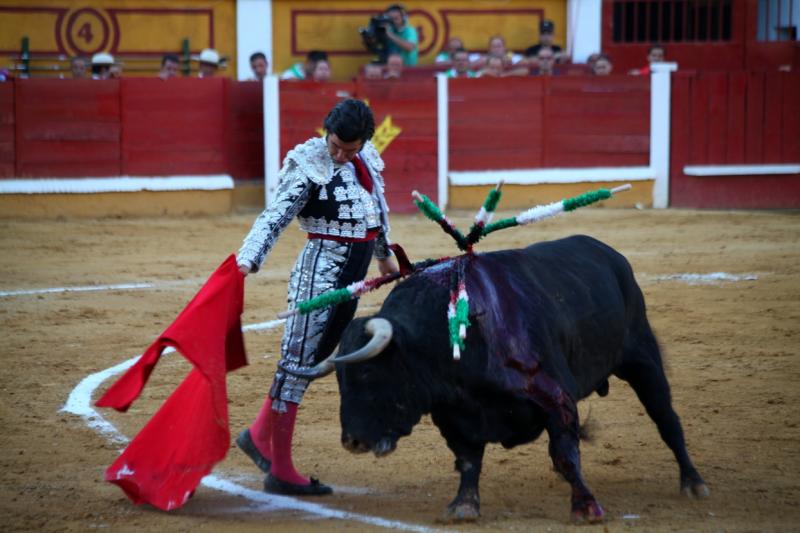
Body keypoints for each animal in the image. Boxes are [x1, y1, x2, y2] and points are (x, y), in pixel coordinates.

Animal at [316, 235, 708, 520]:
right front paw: (463, 506)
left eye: (368, 372)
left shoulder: (555, 398)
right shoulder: (453, 415)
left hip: (643, 358)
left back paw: (693, 482)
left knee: (666, 419)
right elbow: (468, 460)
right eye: (341, 379)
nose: (351, 441)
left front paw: (586, 507)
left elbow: (565, 454)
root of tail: (610, 254)